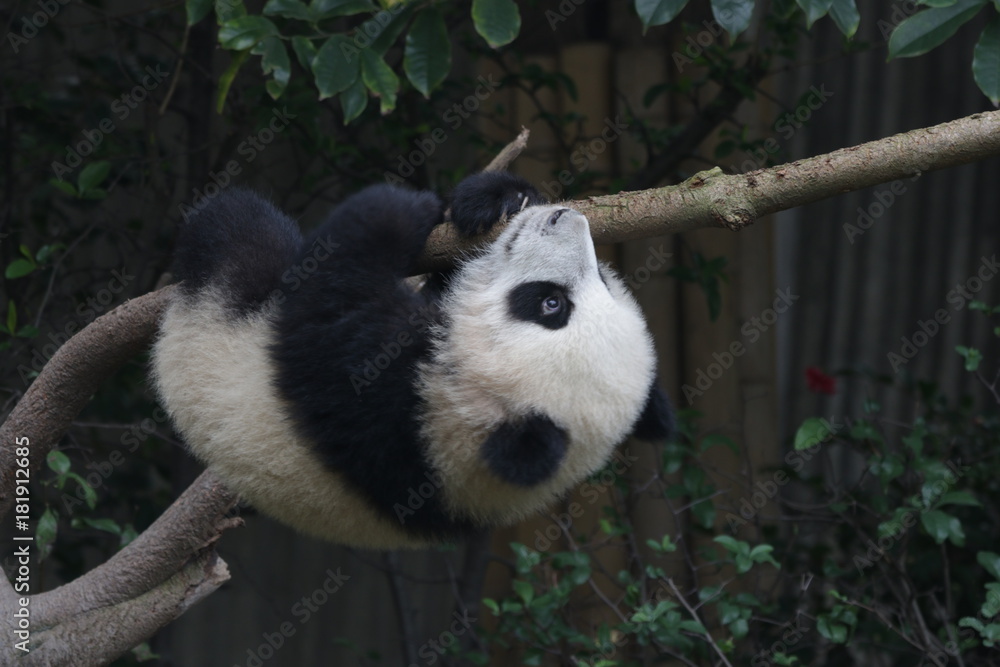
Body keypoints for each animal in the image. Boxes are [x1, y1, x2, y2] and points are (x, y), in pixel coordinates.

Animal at [151, 172, 672, 549]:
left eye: (549, 305)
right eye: (601, 281)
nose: (566, 217)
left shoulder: (388, 405)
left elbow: (328, 304)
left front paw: (397, 210)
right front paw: (497, 198)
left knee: (239, 232)